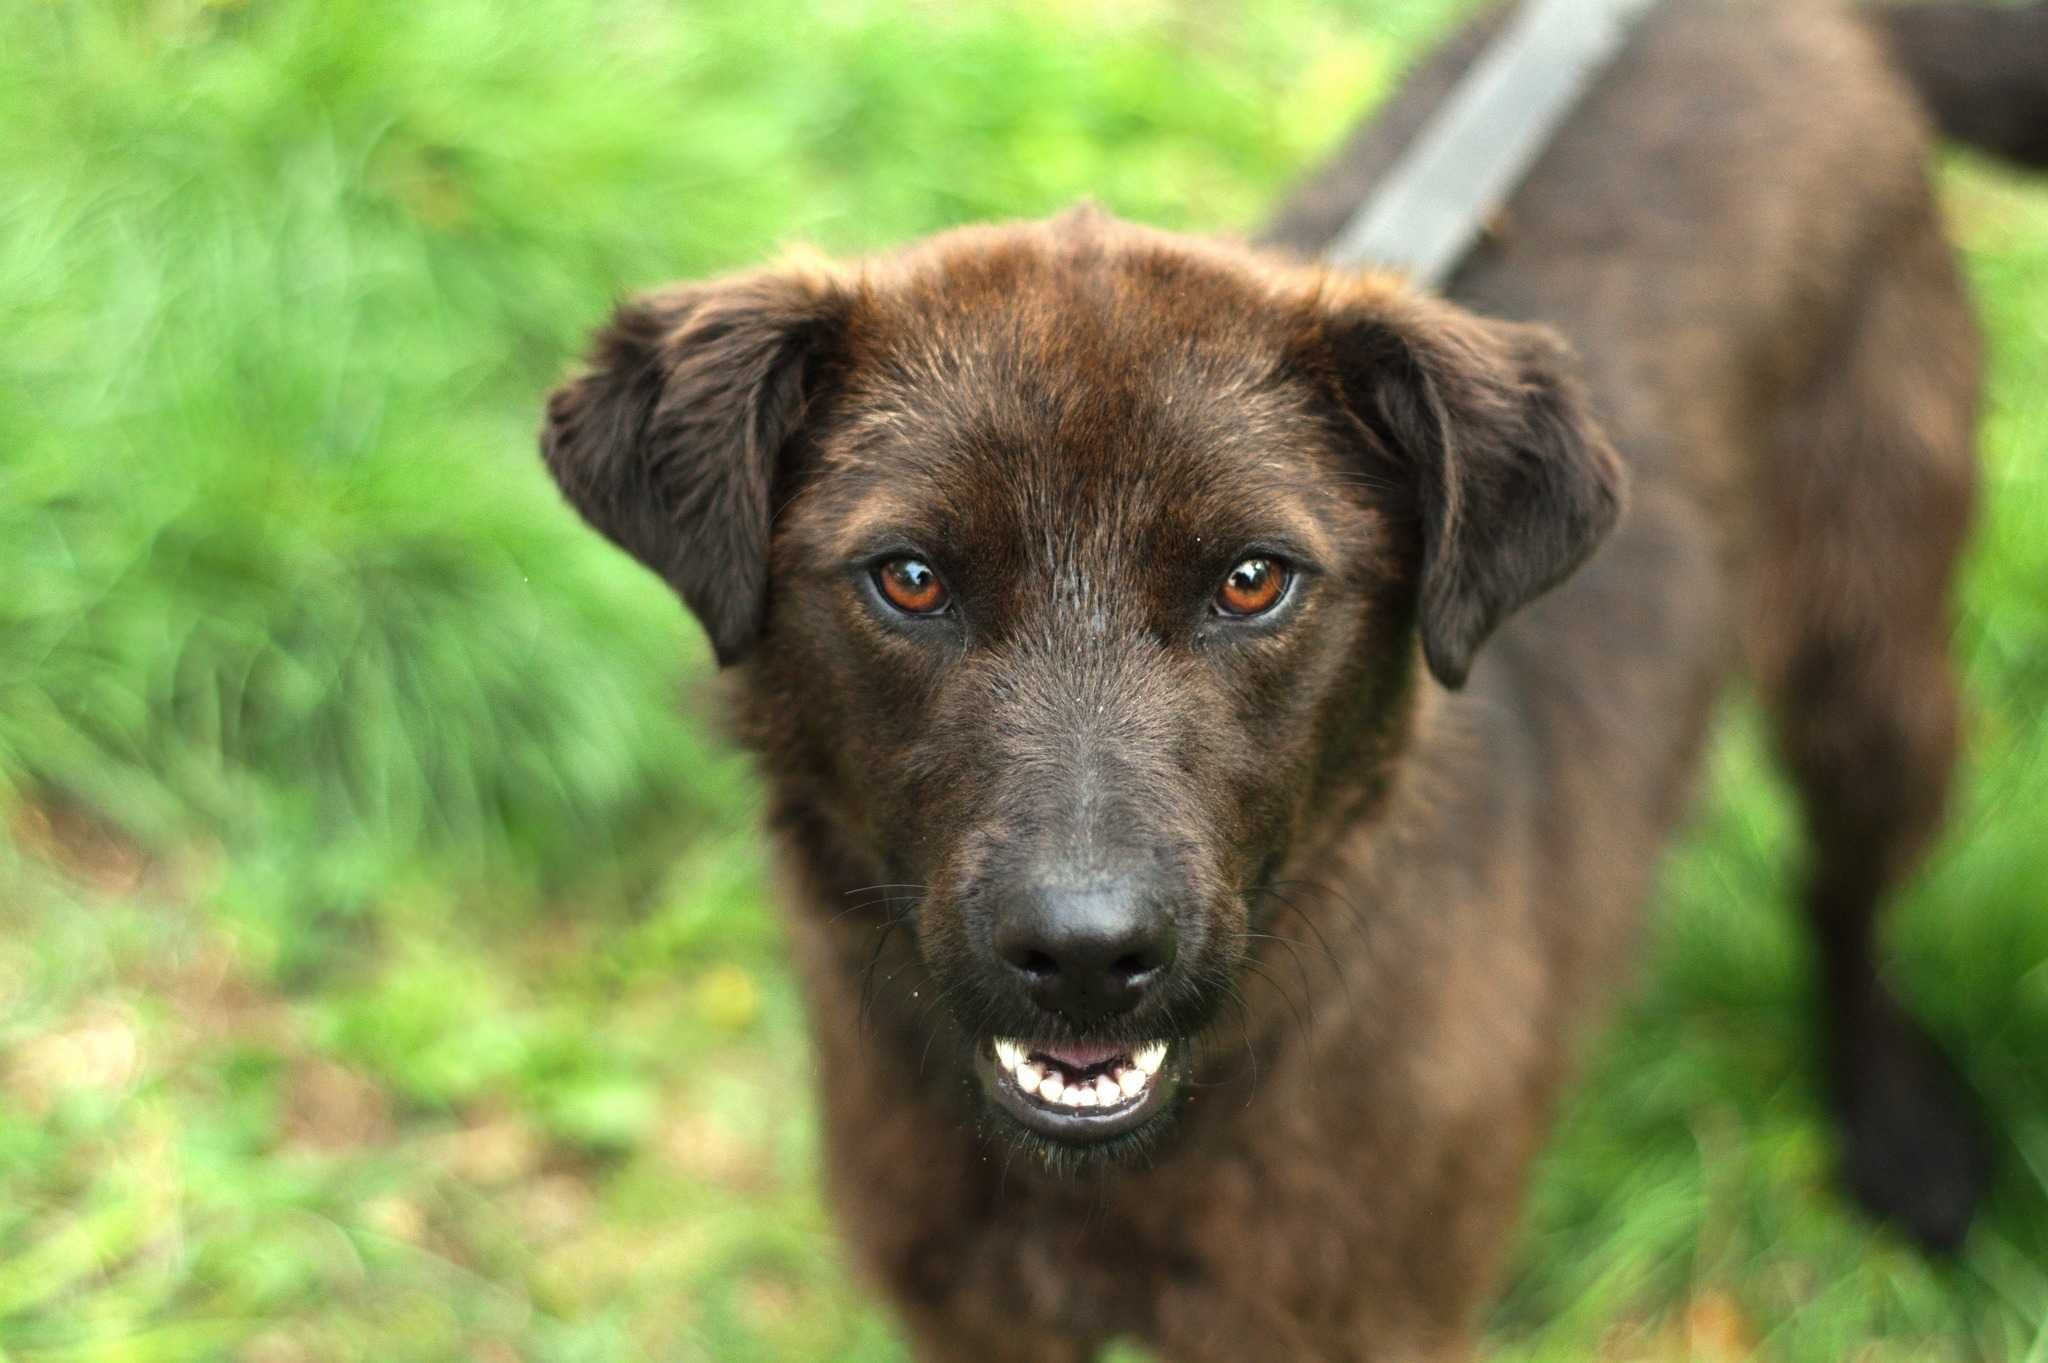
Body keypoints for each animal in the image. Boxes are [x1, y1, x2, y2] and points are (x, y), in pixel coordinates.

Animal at [532, 5, 2048, 1350]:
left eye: (1254, 580)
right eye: (908, 578)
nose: (1085, 955)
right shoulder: (967, 1314)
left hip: (1870, 662)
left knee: (1842, 892)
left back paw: (1900, 1127)